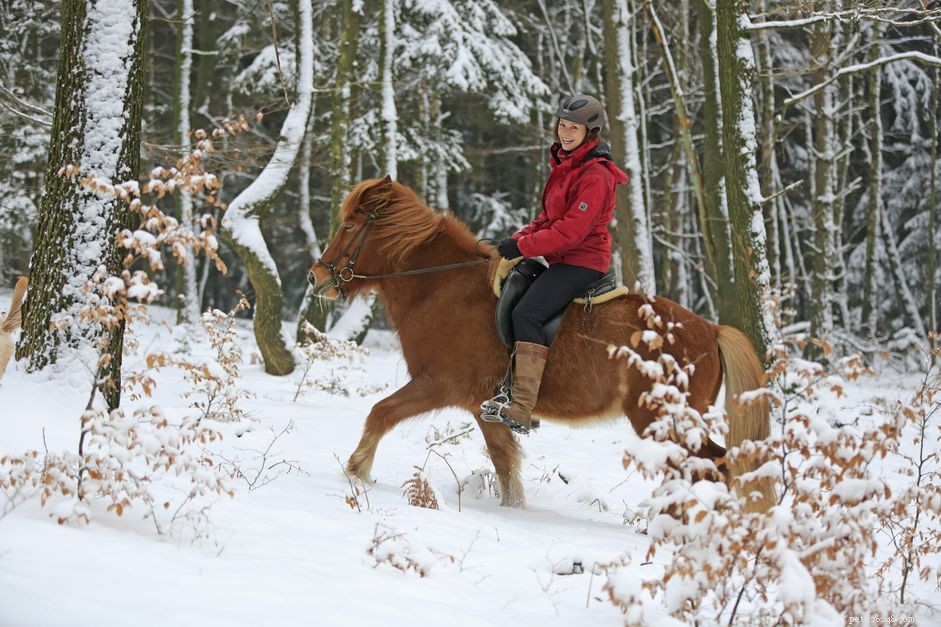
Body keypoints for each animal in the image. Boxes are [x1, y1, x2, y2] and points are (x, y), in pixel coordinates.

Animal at [307, 176, 775, 511]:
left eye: (349, 225)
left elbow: (381, 412)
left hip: (664, 421)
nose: (316, 277)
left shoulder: (439, 384)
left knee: (711, 469)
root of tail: (712, 330)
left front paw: (357, 471)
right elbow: (504, 461)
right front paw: (514, 510)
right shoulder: (483, 406)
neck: (441, 285)